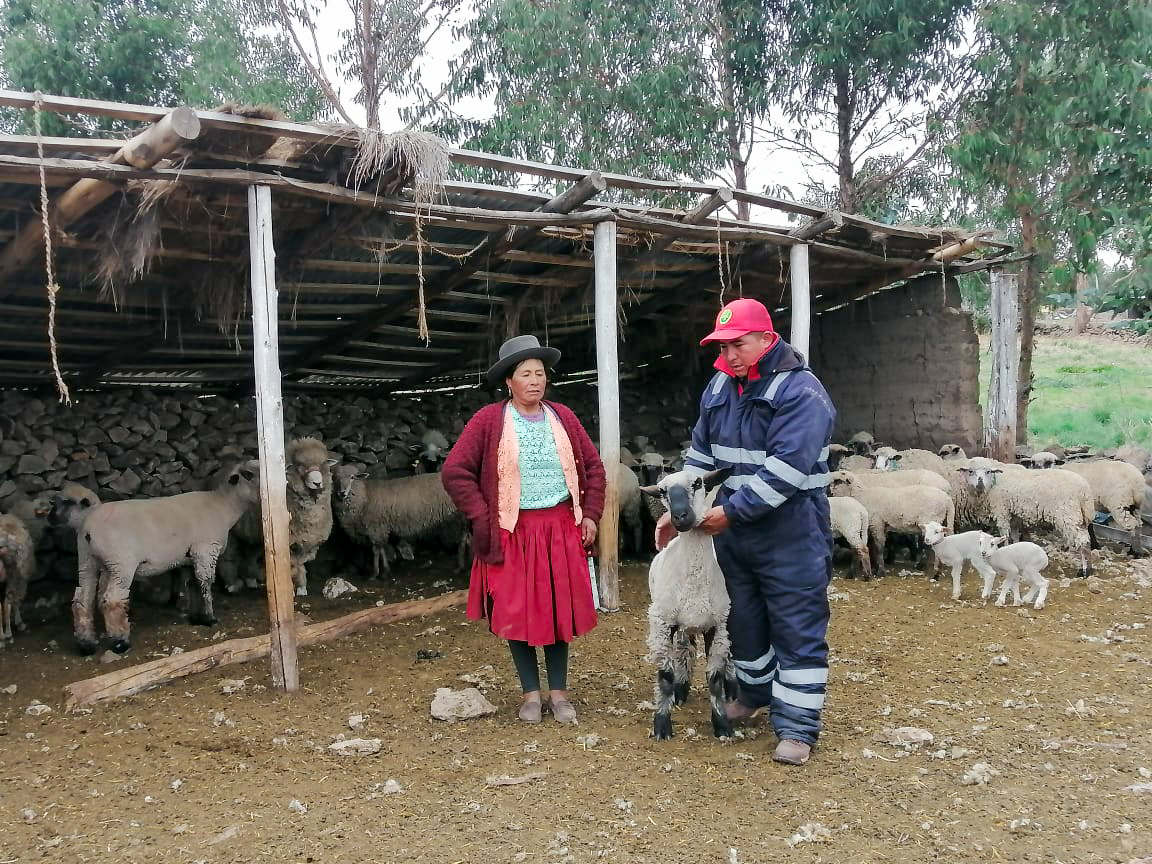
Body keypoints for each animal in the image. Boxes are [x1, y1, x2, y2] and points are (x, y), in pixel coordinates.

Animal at [72, 460, 261, 654]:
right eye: (249, 474)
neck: (223, 506)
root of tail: (88, 530)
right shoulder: (205, 551)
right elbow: (206, 583)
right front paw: (209, 617)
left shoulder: (189, 558)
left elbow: (193, 585)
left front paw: (196, 617)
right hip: (121, 563)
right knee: (112, 600)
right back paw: (120, 642)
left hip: (89, 560)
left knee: (82, 599)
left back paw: (86, 644)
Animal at [640, 470, 737, 741]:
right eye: (662, 491)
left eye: (698, 482)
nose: (680, 517)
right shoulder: (663, 623)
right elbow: (665, 676)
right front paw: (662, 725)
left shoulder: (718, 624)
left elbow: (714, 678)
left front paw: (722, 724)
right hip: (681, 623)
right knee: (685, 650)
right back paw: (681, 689)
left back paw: (731, 688)